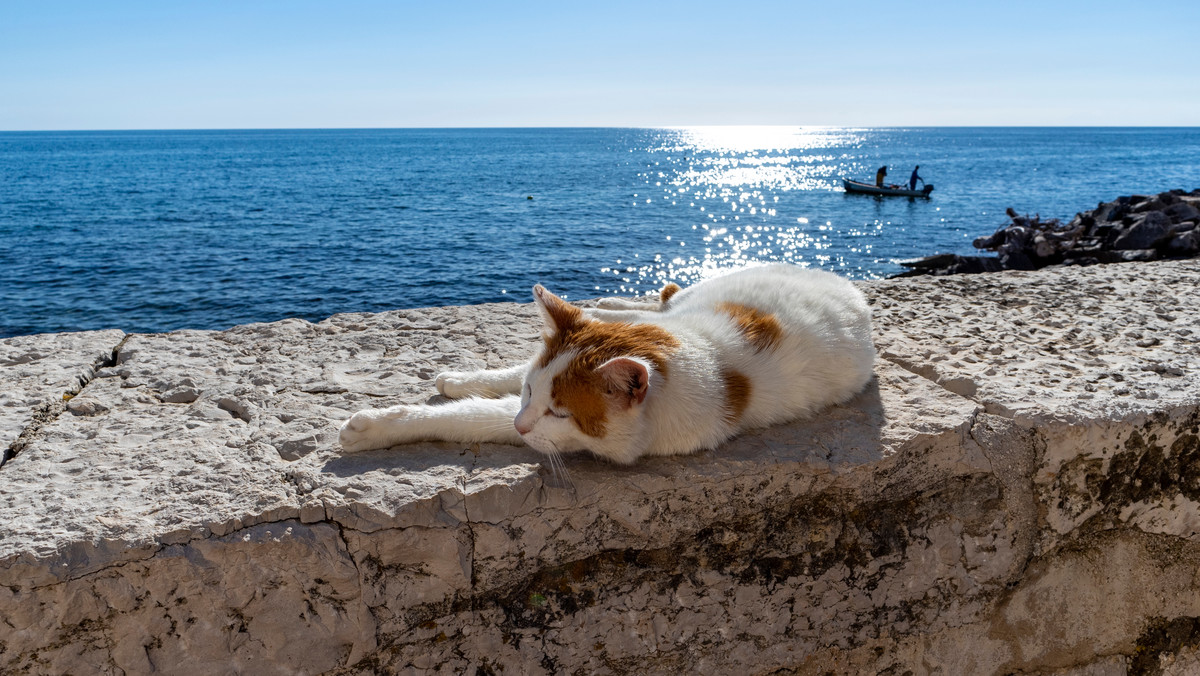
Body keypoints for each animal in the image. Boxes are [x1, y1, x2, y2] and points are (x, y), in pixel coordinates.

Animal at [338, 264, 873, 465]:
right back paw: (607, 302)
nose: (523, 421)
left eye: (561, 412)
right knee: (657, 305)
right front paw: (464, 379)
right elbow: (505, 377)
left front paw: (373, 428)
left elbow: (470, 418)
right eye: (532, 392)